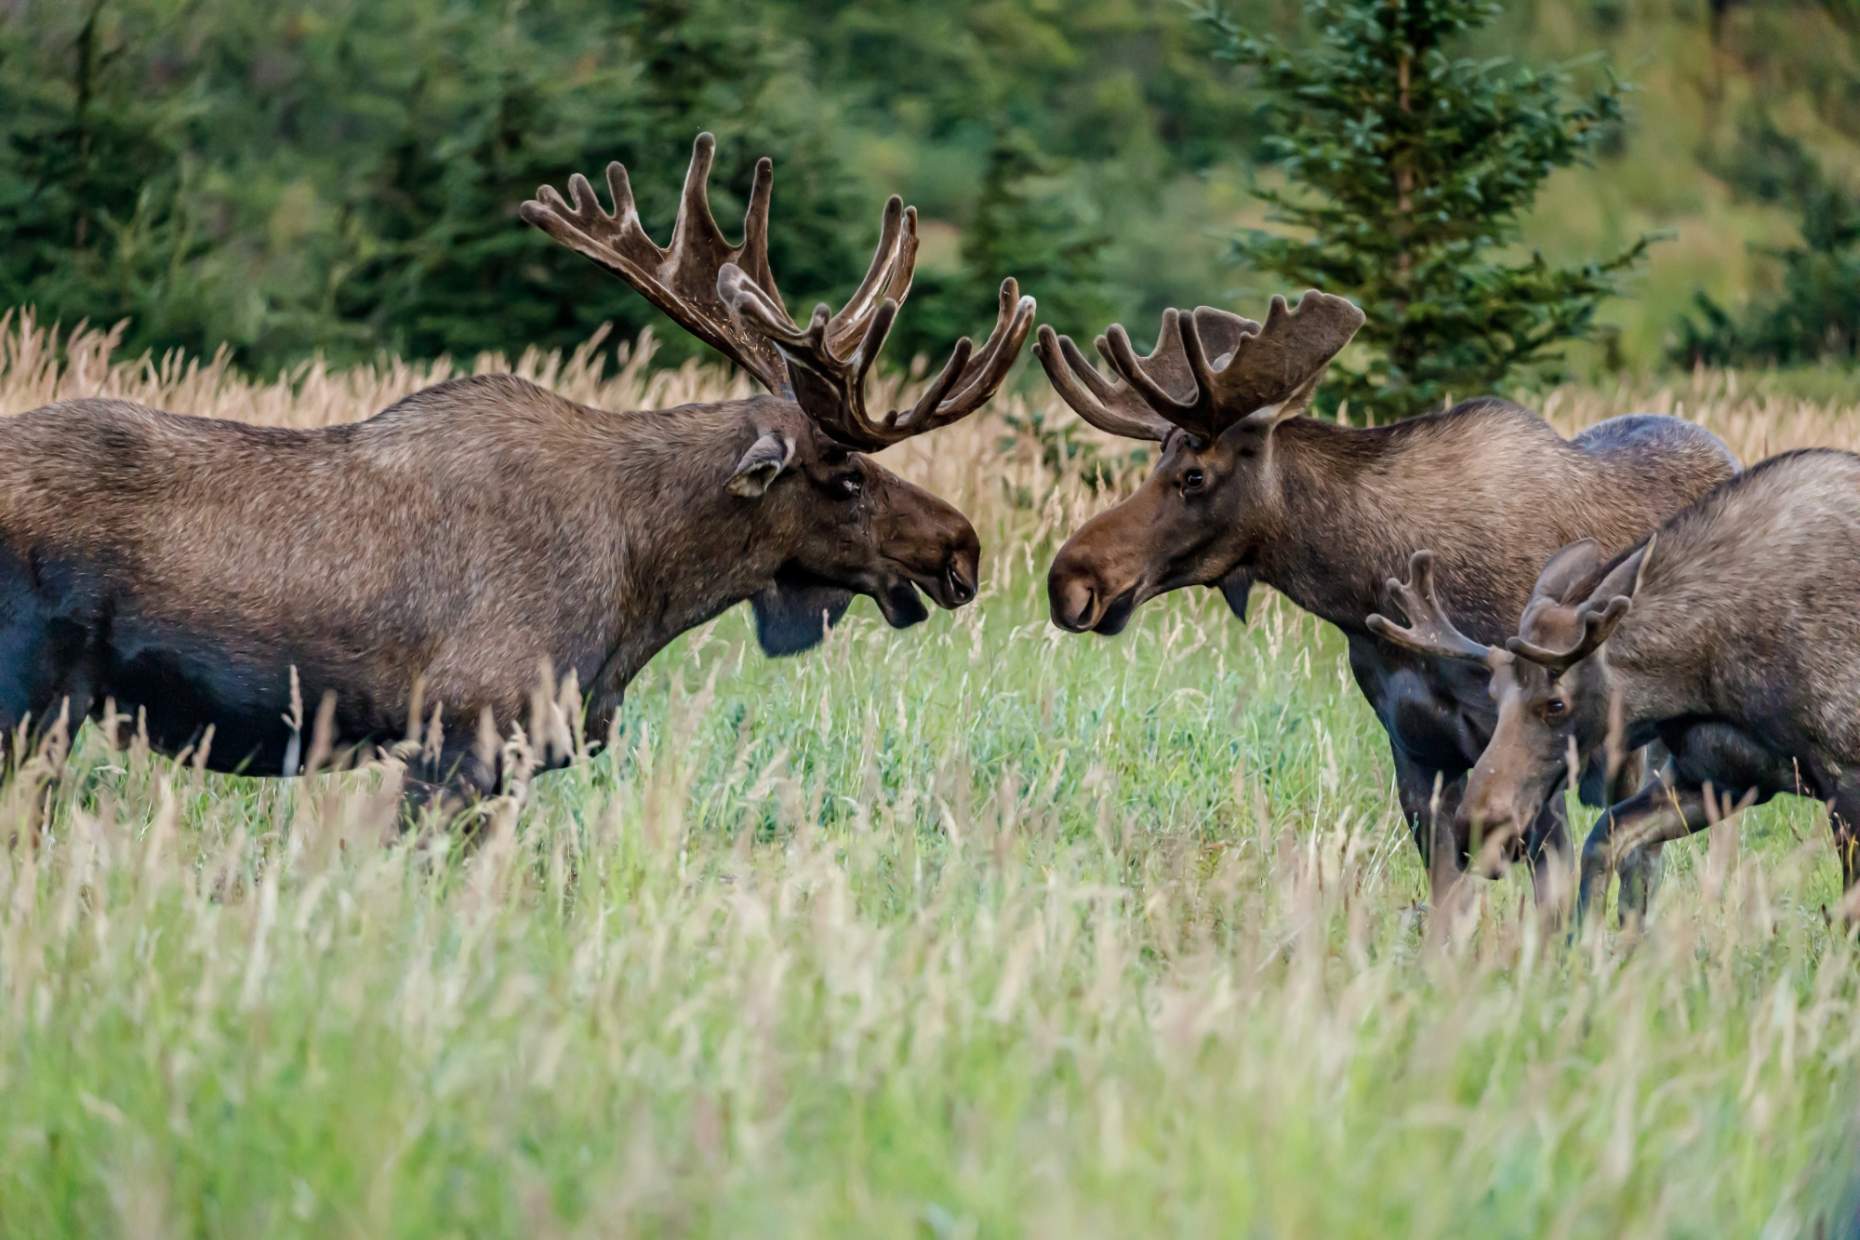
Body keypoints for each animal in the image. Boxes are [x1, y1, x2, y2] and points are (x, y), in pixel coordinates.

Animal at [1041, 291, 1733, 910]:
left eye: (1194, 476)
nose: (1070, 579)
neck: (1372, 586)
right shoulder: (1417, 756)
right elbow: (1446, 909)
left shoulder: (1536, 759)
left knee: (1642, 861)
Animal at [1376, 451, 1860, 925]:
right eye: (1493, 695)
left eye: (1556, 704)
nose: (1477, 828)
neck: (1705, 681)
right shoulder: (1719, 778)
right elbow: (1605, 843)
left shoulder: (1845, 775)